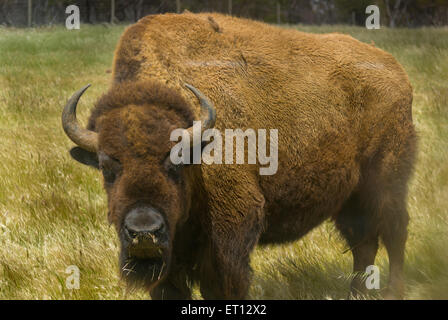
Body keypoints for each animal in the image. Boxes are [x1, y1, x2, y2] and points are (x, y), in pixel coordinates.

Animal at [60, 12, 416, 300]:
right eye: (107, 167)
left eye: (176, 164)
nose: (144, 232)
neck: (199, 146)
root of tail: (395, 69)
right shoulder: (170, 264)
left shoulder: (231, 232)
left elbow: (225, 285)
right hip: (348, 197)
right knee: (364, 242)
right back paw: (356, 294)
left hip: (387, 181)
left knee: (394, 233)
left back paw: (394, 292)